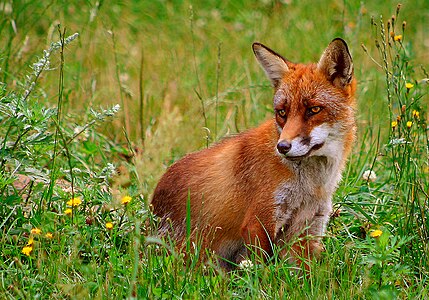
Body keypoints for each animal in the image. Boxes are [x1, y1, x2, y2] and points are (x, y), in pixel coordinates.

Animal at [152, 38, 356, 270]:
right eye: (282, 112)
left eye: (313, 110)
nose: (282, 147)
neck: (310, 185)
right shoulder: (259, 220)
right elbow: (262, 273)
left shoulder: (309, 226)